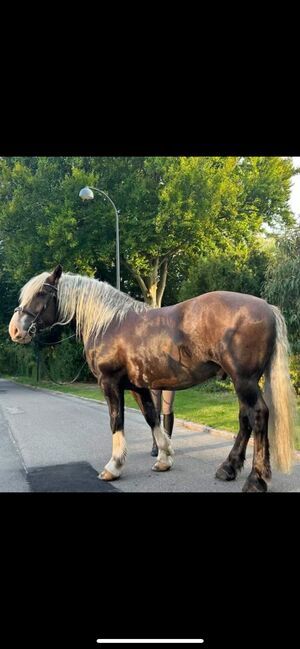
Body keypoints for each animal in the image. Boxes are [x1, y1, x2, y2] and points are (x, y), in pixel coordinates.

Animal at [8, 264, 296, 492]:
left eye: (42, 293)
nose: (15, 330)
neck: (108, 323)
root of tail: (267, 307)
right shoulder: (138, 386)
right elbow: (151, 417)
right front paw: (164, 459)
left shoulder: (110, 383)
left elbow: (116, 421)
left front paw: (114, 466)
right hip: (243, 381)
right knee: (245, 418)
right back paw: (228, 468)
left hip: (244, 380)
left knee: (257, 415)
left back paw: (256, 480)